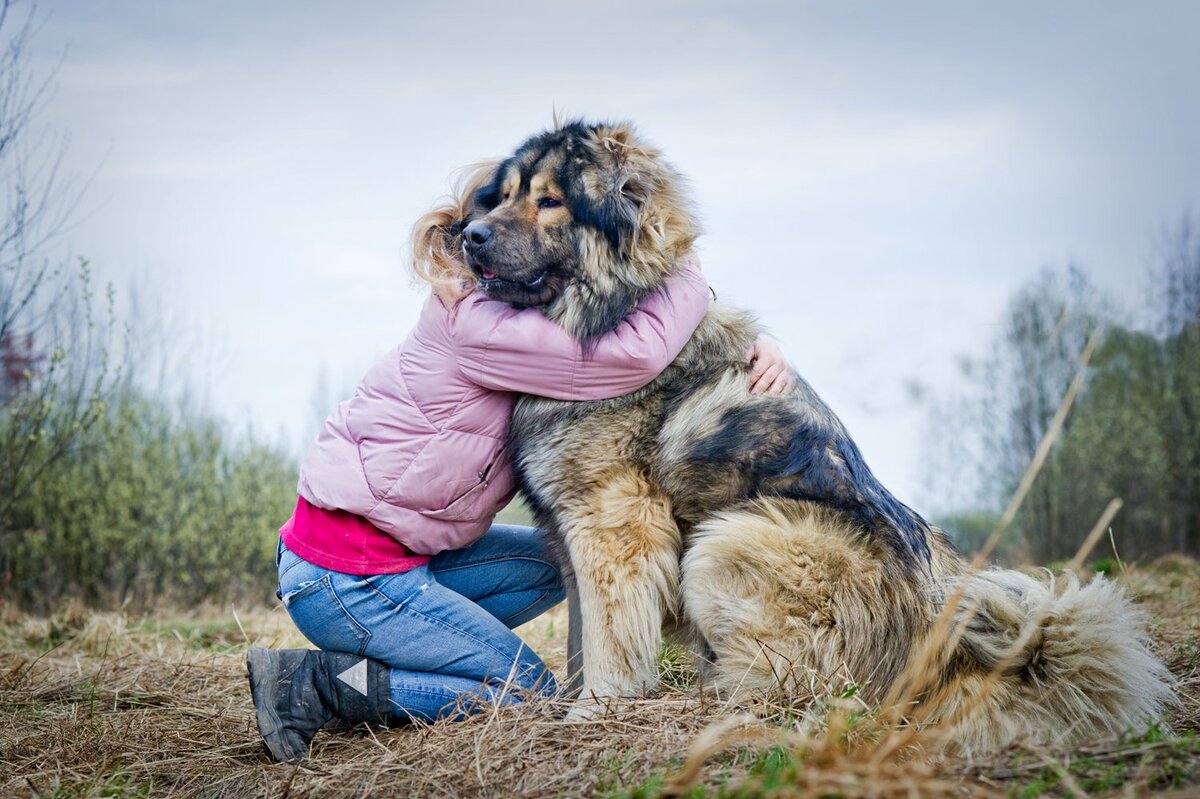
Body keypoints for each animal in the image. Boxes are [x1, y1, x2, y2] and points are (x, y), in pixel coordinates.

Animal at [451, 118, 1171, 748]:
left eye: (550, 202)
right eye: (505, 195)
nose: (468, 234)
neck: (608, 317)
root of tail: (942, 651)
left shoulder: (614, 525)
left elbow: (608, 638)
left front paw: (595, 709)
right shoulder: (570, 533)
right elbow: (581, 635)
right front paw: (573, 703)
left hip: (732, 539)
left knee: (812, 686)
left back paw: (726, 704)